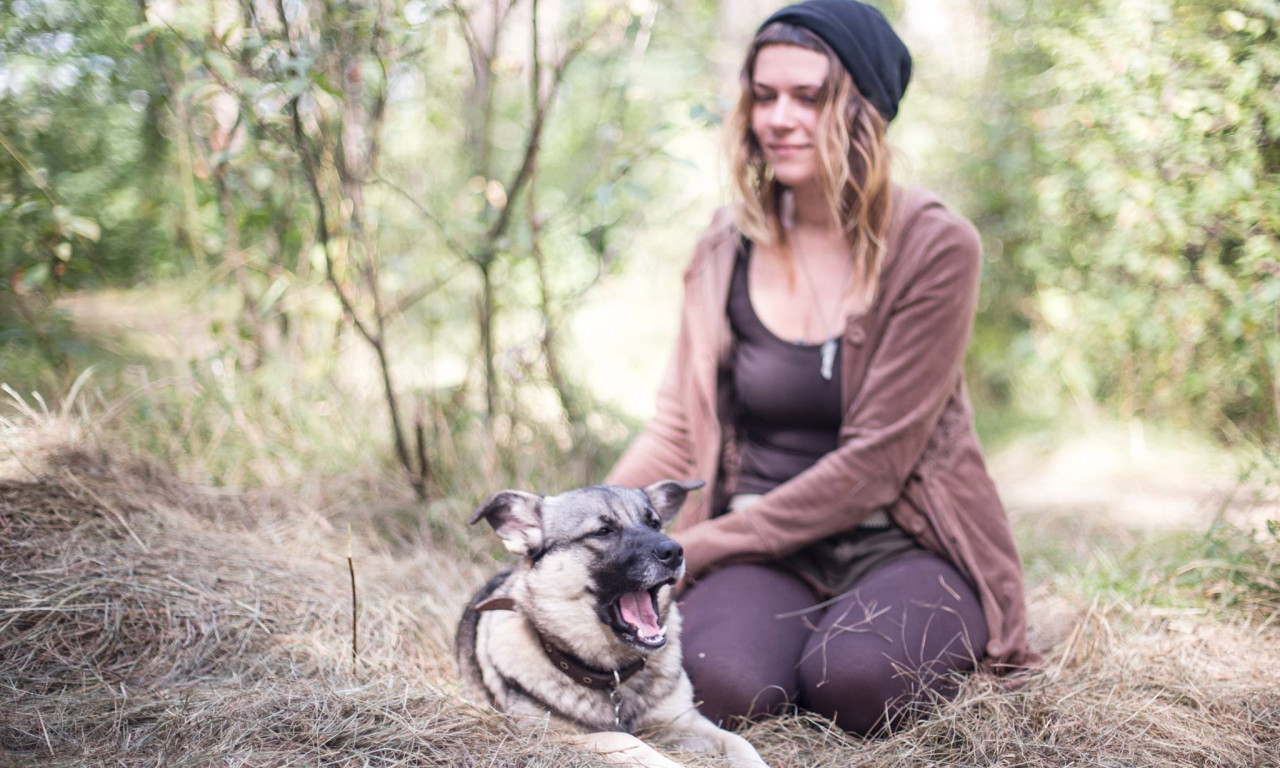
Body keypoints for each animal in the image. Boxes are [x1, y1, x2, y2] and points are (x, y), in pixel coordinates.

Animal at [456, 480, 770, 768]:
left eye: (654, 523)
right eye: (603, 532)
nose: (675, 551)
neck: (612, 674)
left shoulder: (685, 720)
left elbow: (738, 741)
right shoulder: (551, 735)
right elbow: (623, 738)